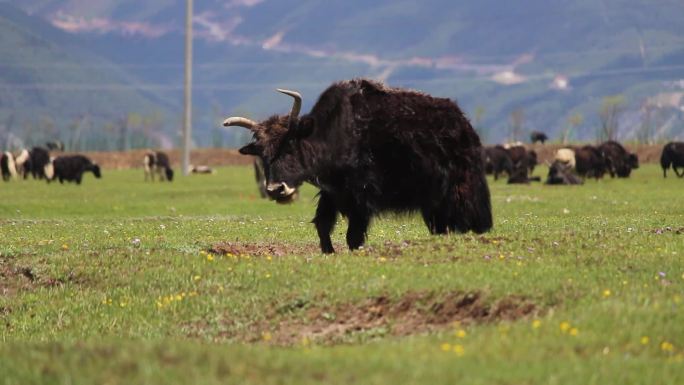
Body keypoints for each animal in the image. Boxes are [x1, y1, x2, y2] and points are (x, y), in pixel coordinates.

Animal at [224, 78, 492, 252]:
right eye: (262, 154)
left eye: (290, 146)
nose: (275, 190)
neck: (332, 135)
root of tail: (465, 123)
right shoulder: (332, 194)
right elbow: (323, 226)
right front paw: (329, 252)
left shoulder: (361, 196)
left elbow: (353, 235)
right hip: (432, 202)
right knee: (441, 224)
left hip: (460, 189)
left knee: (466, 218)